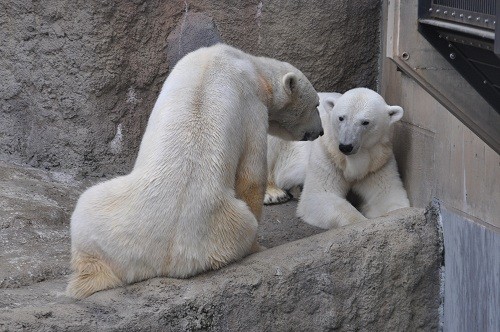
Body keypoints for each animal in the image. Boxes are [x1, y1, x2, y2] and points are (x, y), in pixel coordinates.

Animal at [66, 43, 322, 298]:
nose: (320, 131)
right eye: (317, 105)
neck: (249, 64)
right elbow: (251, 174)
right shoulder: (252, 103)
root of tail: (162, 261)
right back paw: (255, 246)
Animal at [266, 87, 410, 230]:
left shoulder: (378, 162)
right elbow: (320, 195)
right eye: (341, 118)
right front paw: (360, 222)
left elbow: (388, 196)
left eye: (365, 122)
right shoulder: (328, 154)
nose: (346, 146)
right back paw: (274, 193)